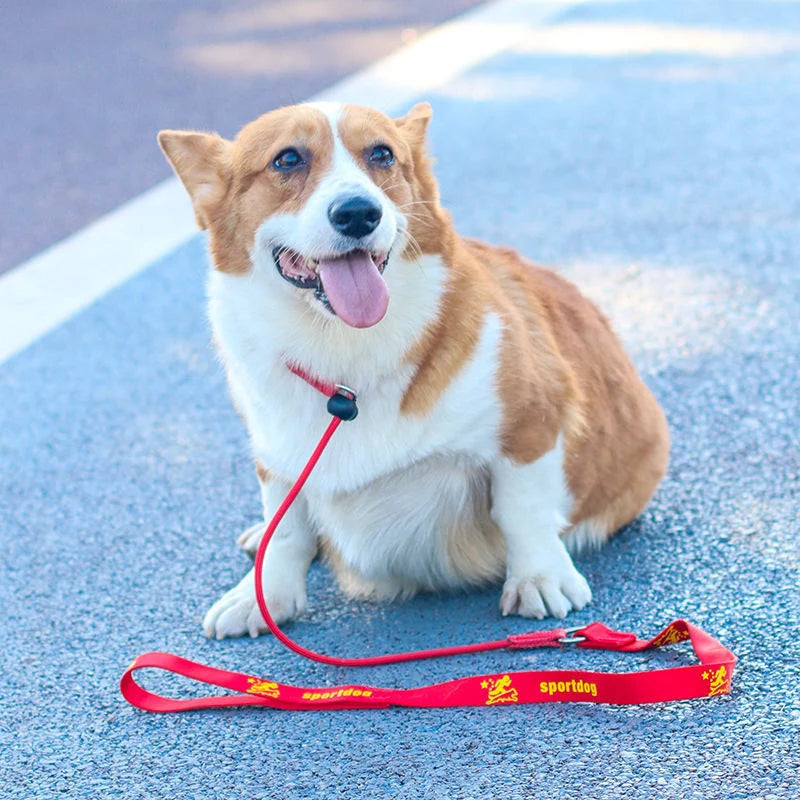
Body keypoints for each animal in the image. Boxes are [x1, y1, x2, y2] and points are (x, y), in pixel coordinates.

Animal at [158, 101, 668, 636]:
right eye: (288, 159)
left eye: (382, 154)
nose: (358, 212)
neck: (343, 355)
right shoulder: (277, 455)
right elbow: (287, 528)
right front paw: (262, 597)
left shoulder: (530, 424)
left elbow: (522, 510)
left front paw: (540, 579)